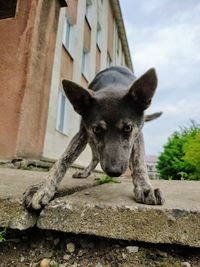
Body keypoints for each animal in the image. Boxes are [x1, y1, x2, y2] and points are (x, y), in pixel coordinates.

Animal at [23, 66, 164, 210]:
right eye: (97, 129)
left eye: (128, 128)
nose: (114, 172)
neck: (113, 84)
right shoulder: (84, 131)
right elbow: (64, 159)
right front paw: (42, 187)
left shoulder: (138, 133)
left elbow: (139, 161)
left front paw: (144, 186)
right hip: (90, 140)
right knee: (96, 156)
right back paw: (85, 172)